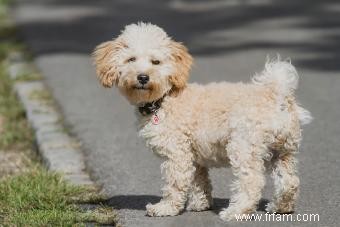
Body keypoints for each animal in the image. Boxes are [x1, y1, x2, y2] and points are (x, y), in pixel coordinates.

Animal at [91, 22, 312, 221]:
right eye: (131, 59)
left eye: (156, 62)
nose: (143, 77)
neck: (164, 99)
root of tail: (277, 94)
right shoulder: (194, 155)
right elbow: (199, 181)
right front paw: (200, 204)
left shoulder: (177, 153)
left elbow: (175, 183)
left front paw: (166, 208)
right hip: (283, 150)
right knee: (290, 181)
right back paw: (280, 207)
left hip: (244, 147)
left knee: (252, 181)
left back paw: (236, 212)